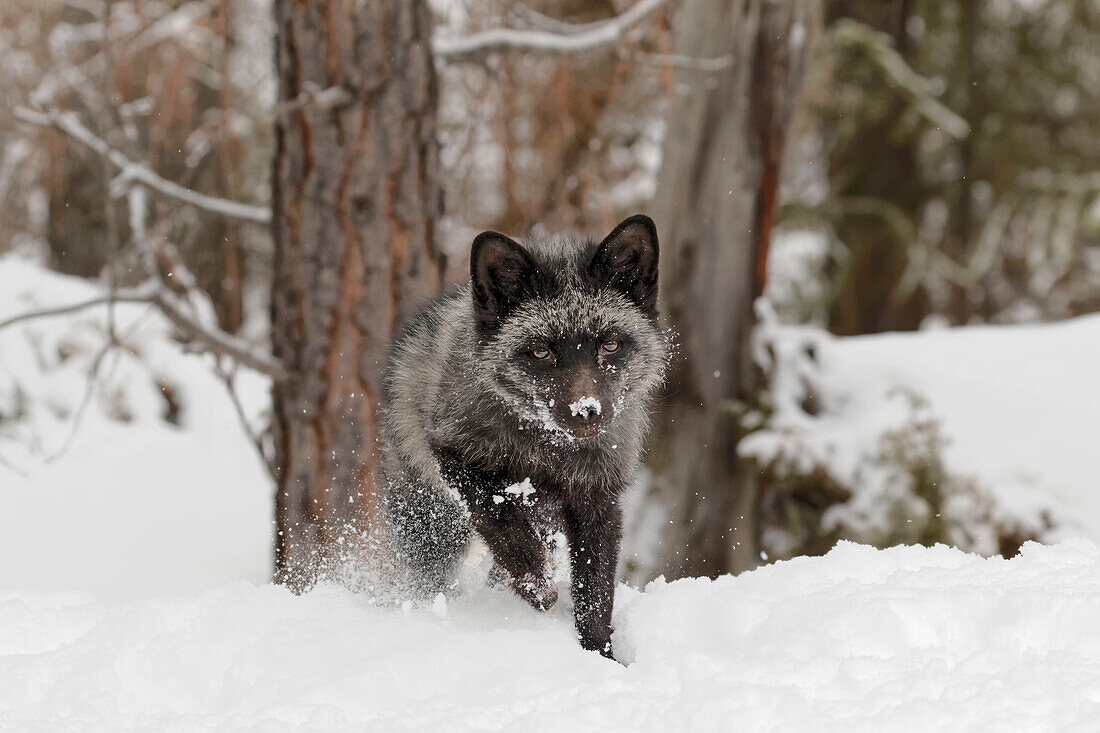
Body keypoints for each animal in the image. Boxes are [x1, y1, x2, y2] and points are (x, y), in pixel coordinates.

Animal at [382, 214, 664, 651]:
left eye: (611, 345)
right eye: (541, 352)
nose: (586, 411)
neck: (548, 452)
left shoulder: (597, 499)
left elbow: (596, 597)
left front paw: (600, 655)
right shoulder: (455, 456)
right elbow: (504, 525)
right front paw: (538, 585)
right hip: (432, 522)